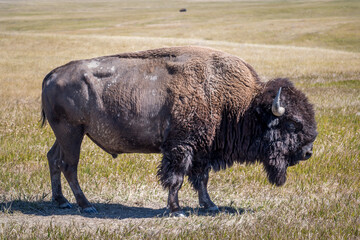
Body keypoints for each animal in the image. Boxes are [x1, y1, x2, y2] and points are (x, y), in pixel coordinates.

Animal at [40, 46, 316, 217]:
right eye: (292, 124)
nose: (308, 152)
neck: (240, 104)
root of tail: (52, 74)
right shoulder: (181, 147)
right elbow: (177, 178)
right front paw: (176, 210)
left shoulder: (203, 150)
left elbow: (201, 178)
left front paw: (210, 206)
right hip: (72, 133)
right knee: (69, 166)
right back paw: (86, 206)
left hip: (65, 135)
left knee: (53, 159)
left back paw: (62, 202)